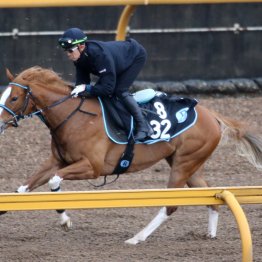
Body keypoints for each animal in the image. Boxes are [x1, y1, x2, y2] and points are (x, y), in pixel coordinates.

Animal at [0, 66, 262, 245]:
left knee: (171, 205)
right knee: (209, 194)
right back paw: (210, 233)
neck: (73, 116)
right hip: (189, 163)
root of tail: (212, 115)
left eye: (13, 97)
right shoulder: (57, 160)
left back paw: (137, 238)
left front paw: (65, 220)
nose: (0, 122)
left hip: (183, 164)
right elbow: (23, 188)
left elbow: (54, 181)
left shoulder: (92, 167)